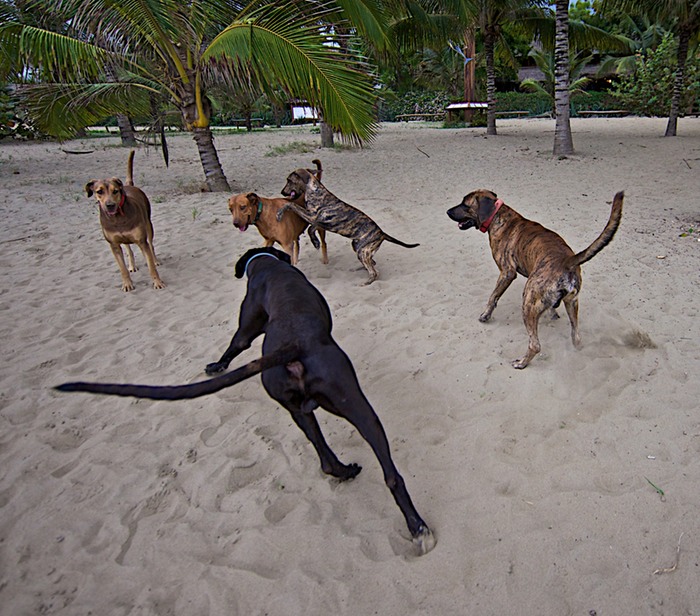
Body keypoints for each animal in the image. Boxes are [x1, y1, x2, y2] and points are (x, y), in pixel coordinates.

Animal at [57, 248, 434, 556]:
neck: (268, 266)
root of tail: (293, 347)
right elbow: (236, 343)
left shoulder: (246, 326)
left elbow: (234, 344)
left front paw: (215, 366)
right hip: (357, 405)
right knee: (391, 476)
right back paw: (418, 527)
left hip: (298, 411)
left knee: (325, 458)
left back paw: (345, 471)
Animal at [85, 150, 165, 292]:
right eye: (99, 191)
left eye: (115, 191)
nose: (110, 205)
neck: (118, 219)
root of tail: (128, 185)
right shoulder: (114, 245)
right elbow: (122, 268)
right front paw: (127, 283)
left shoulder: (141, 241)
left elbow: (151, 267)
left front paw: (157, 282)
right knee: (129, 250)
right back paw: (132, 266)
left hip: (149, 226)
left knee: (151, 246)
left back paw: (155, 260)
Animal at [276, 168, 418, 284]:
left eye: (289, 180)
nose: (282, 192)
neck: (314, 190)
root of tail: (382, 233)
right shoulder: (318, 221)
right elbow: (311, 228)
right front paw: (315, 241)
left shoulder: (313, 216)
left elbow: (292, 205)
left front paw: (279, 213)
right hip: (358, 247)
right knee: (372, 263)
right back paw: (360, 268)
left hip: (363, 251)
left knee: (374, 272)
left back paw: (365, 282)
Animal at [448, 190, 624, 368]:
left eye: (465, 204)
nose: (448, 211)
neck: (497, 216)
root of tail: (568, 261)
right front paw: (553, 313)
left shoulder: (506, 273)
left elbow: (493, 297)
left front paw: (485, 315)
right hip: (571, 303)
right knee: (576, 337)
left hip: (528, 302)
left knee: (535, 345)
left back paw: (521, 362)